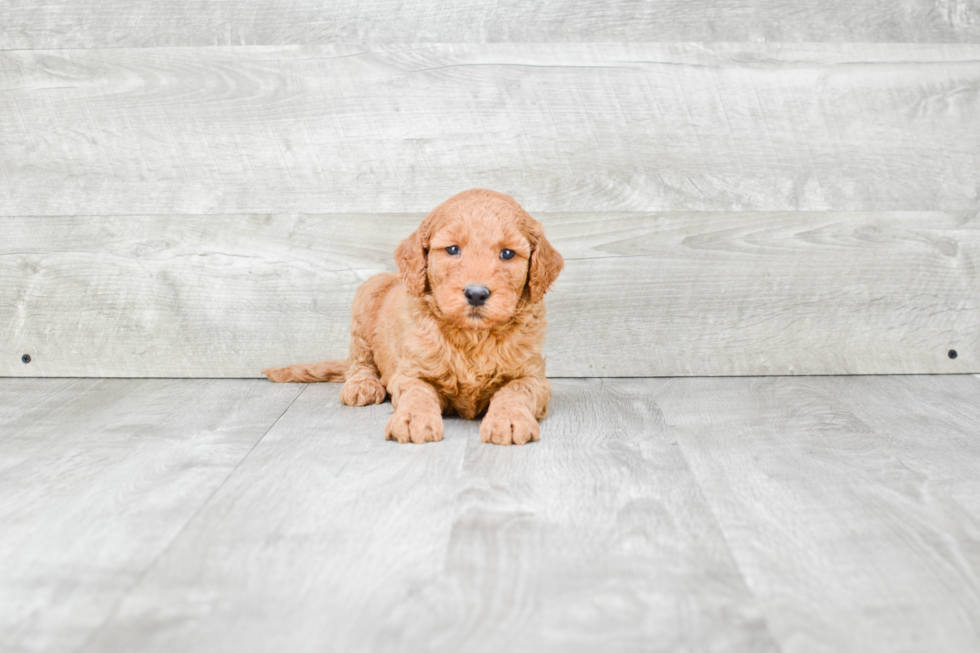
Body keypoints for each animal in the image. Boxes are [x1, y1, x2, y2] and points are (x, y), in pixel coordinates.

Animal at [264, 186, 564, 446]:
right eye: (453, 249)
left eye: (508, 253)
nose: (476, 294)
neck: (472, 337)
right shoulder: (411, 371)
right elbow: (418, 393)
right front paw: (413, 420)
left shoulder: (534, 377)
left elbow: (516, 391)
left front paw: (509, 420)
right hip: (367, 295)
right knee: (360, 360)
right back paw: (362, 385)